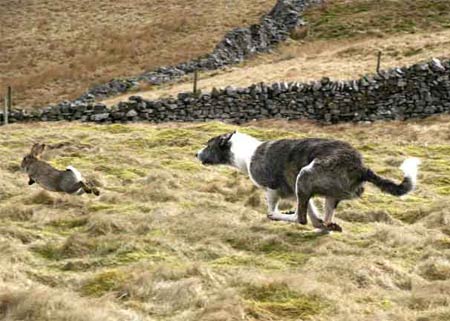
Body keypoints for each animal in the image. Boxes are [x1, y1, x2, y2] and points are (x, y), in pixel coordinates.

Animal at [195, 131, 420, 231]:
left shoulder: (272, 189)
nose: (196, 154)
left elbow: (275, 209)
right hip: (323, 192)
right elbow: (312, 212)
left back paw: (281, 216)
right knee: (324, 219)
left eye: (208, 145)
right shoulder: (299, 192)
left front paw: (276, 214)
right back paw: (327, 225)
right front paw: (317, 221)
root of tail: (360, 167)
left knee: (298, 218)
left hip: (305, 175)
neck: (247, 153)